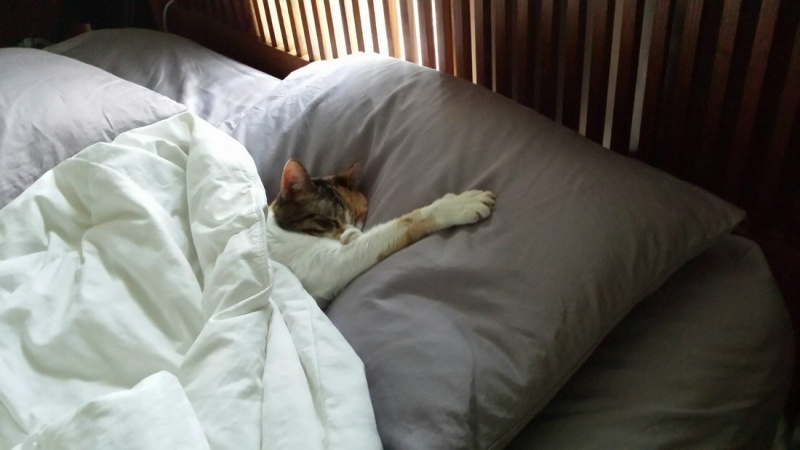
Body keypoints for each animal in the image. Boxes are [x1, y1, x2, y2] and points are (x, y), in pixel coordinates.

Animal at [266, 159, 496, 308]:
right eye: (329, 221)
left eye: (358, 216)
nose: (352, 232)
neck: (280, 227)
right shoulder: (326, 263)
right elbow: (400, 225)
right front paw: (456, 205)